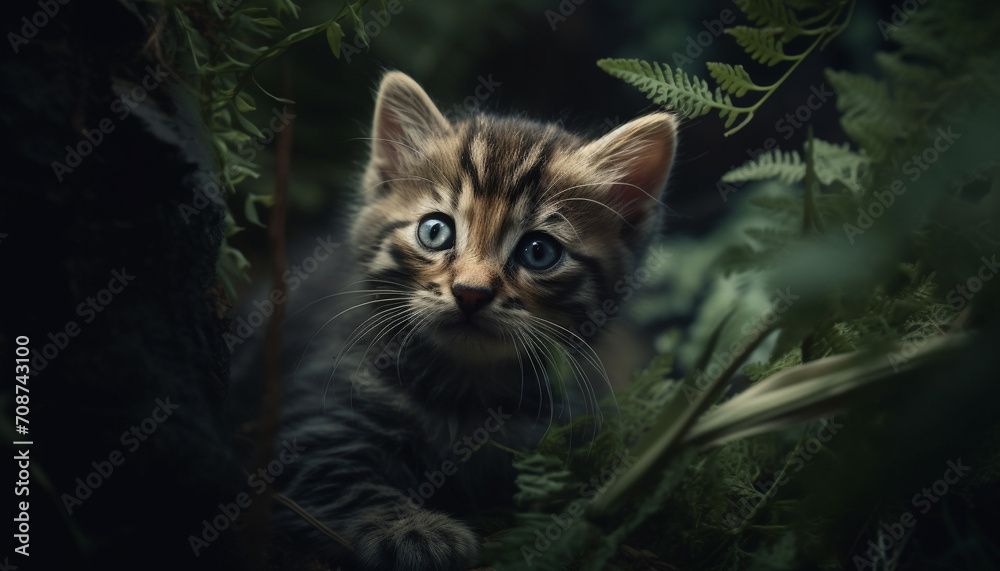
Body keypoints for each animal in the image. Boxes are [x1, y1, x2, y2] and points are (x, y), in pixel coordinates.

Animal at [272, 72, 680, 571]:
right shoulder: (317, 420)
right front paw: (412, 531)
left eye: (538, 251)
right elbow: (336, 477)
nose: (470, 292)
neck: (466, 391)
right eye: (435, 231)